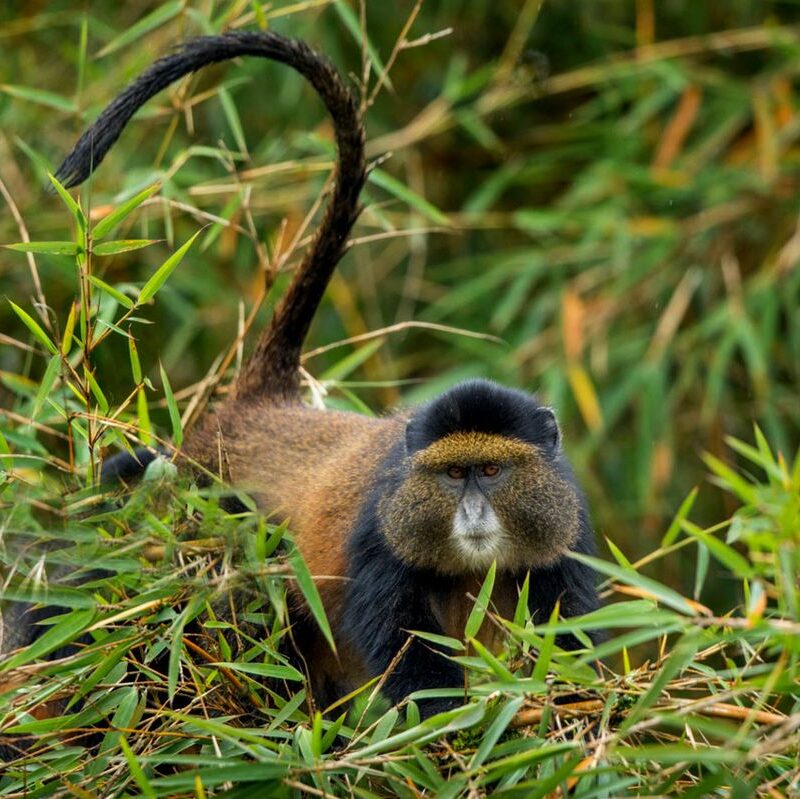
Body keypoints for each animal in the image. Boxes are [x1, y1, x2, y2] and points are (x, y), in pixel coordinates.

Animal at [11, 30, 601, 719]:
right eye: (454, 475)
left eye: (492, 471)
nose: (475, 513)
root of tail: (260, 405)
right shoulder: (378, 533)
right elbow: (404, 647)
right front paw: (446, 726)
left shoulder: (565, 526)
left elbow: (568, 631)